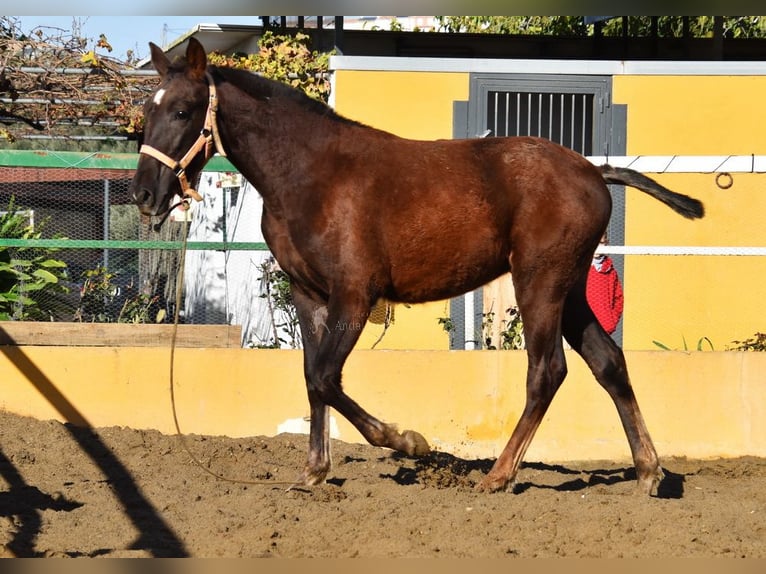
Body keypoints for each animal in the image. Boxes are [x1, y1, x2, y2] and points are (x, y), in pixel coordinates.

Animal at [129, 39, 704, 496]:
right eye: (147, 111)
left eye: (183, 110)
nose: (144, 194)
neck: (313, 175)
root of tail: (593, 170)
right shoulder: (307, 293)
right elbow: (312, 377)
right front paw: (314, 471)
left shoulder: (355, 294)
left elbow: (326, 377)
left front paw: (408, 441)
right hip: (571, 289)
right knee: (608, 362)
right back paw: (648, 472)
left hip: (539, 282)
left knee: (548, 371)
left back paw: (499, 475)